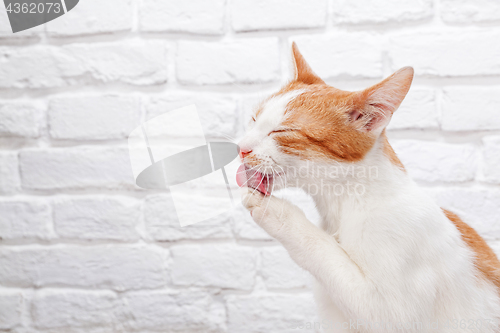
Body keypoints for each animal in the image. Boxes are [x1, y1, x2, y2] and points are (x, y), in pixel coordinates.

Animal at [236, 42, 500, 332]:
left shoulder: (390, 310)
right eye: (253, 119)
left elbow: (323, 250)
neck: (348, 202)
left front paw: (275, 211)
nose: (241, 148)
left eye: (283, 131)